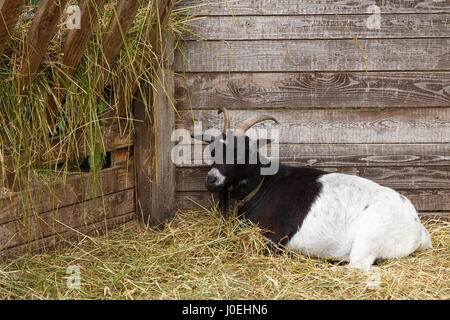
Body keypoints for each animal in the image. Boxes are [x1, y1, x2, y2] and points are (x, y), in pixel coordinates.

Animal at [193, 107, 432, 270]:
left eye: (241, 152)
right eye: (213, 151)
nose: (211, 180)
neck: (263, 185)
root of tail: (418, 229)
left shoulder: (272, 238)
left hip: (369, 237)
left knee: (357, 266)